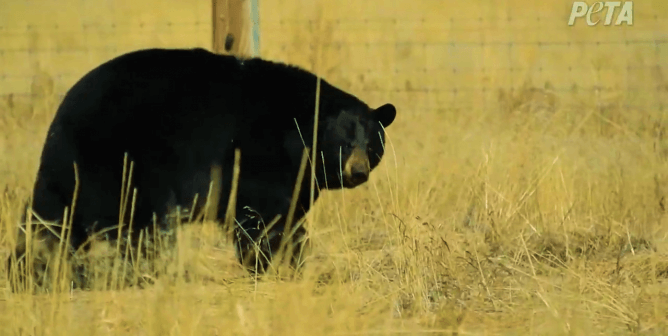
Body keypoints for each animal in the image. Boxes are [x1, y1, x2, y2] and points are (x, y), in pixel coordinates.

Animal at [7, 48, 396, 292]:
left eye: (372, 144)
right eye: (343, 142)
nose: (358, 172)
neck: (295, 132)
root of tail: (62, 112)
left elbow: (289, 217)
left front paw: (294, 262)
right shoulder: (256, 156)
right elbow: (261, 217)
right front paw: (264, 265)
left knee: (55, 219)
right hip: (119, 165)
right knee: (123, 226)